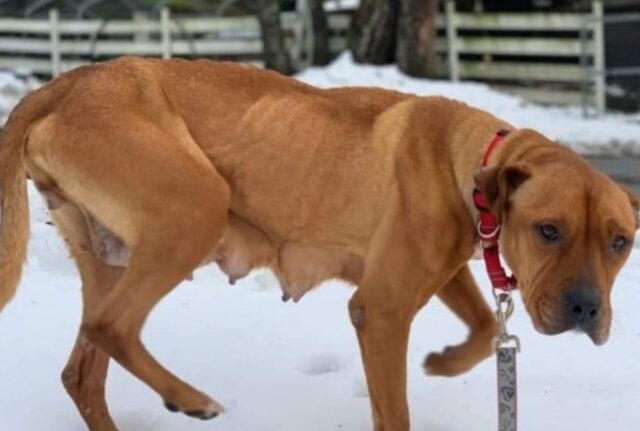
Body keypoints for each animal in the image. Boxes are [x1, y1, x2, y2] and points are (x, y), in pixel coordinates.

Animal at [0, 58, 636, 431]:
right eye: (547, 230)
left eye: (620, 242)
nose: (586, 309)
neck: (465, 158)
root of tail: (60, 85)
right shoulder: (380, 310)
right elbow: (394, 408)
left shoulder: (440, 270)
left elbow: (483, 326)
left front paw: (446, 361)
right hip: (194, 205)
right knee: (110, 325)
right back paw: (189, 396)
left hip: (111, 255)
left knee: (83, 371)